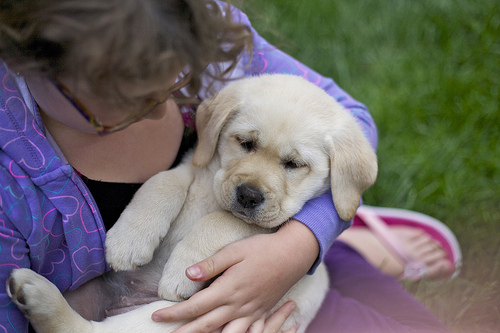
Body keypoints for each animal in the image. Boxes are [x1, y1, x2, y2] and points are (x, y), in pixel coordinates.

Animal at [7, 74, 376, 332]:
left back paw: (35, 294)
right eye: (245, 143)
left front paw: (182, 270)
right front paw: (129, 240)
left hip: (176, 316)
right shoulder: (191, 166)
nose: (248, 195)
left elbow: (222, 221)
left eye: (295, 165)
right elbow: (161, 183)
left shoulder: (272, 225)